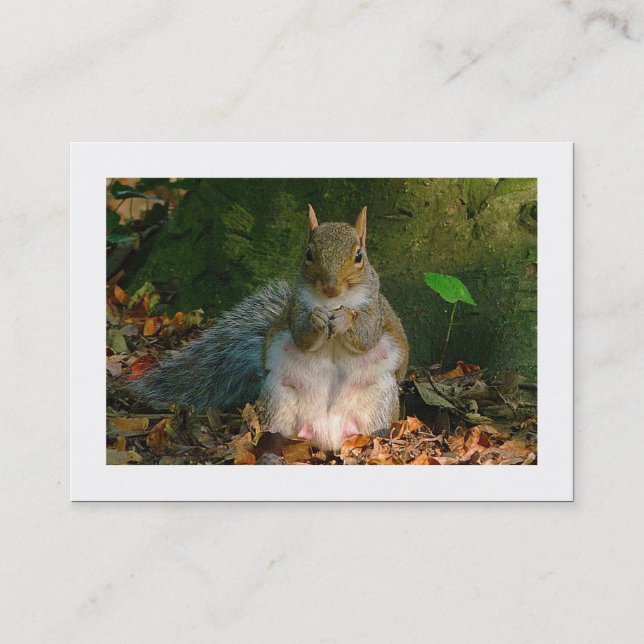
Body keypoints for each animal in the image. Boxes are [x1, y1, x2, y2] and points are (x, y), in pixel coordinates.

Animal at [132, 205, 409, 451]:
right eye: (308, 254)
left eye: (359, 256)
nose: (331, 287)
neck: (332, 301)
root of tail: (327, 435)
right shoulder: (296, 308)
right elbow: (302, 335)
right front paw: (317, 319)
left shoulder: (375, 311)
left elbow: (366, 336)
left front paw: (344, 319)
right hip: (279, 398)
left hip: (379, 400)